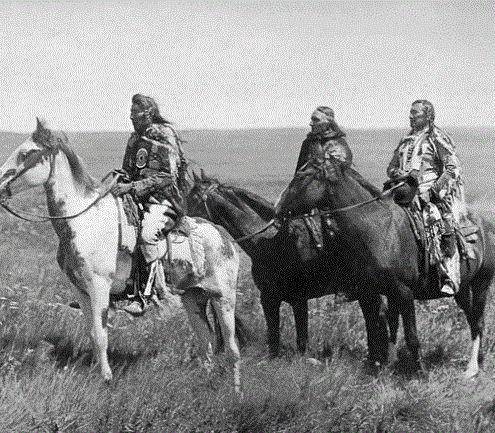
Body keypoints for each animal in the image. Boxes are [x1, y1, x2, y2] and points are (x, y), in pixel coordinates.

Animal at [0, 118, 242, 392]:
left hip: (224, 297)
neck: (85, 221)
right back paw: (205, 381)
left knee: (232, 347)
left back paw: (236, 392)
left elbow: (101, 335)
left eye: (26, 153)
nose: (0, 185)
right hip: (193, 299)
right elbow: (93, 333)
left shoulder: (99, 287)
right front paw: (97, 372)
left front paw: (106, 378)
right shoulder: (81, 291)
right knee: (206, 341)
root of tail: (226, 239)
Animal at [186, 170, 392, 362]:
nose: (180, 223)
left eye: (193, 198)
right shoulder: (269, 297)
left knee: (375, 317)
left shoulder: (298, 299)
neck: (270, 242)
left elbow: (301, 338)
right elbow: (273, 334)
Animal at [276, 152, 495, 378]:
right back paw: (478, 360)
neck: (379, 229)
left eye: (302, 176)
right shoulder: (376, 292)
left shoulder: (404, 291)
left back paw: (471, 368)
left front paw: (420, 373)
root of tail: (486, 224)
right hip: (462, 288)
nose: (277, 208)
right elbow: (387, 329)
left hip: (482, 283)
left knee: (478, 320)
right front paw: (385, 366)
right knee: (472, 318)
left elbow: (411, 336)